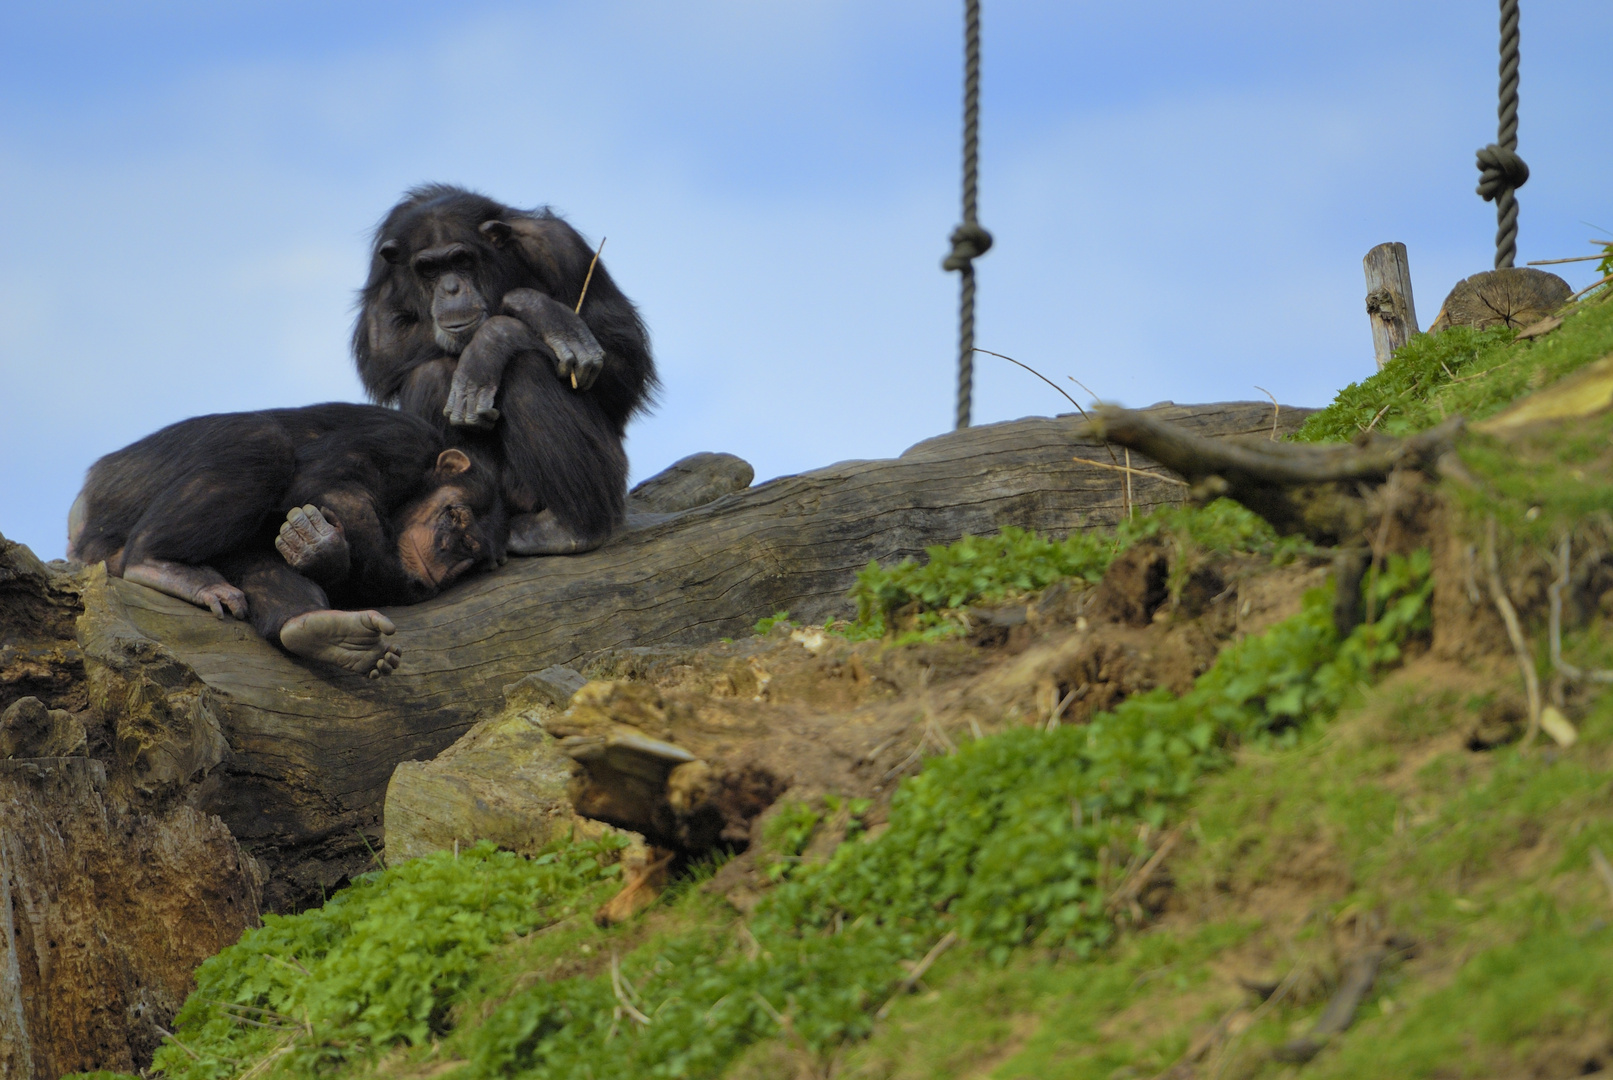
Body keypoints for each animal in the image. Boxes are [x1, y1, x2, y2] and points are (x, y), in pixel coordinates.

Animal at [67, 404, 503, 677]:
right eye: (455, 514)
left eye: (470, 550)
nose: (446, 550)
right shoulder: (398, 442)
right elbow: (325, 486)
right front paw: (328, 550)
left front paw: (320, 551)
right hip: (126, 492)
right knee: (261, 440)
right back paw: (155, 562)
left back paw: (323, 633)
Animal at [351, 183, 654, 557]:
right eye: (428, 268)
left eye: (461, 260)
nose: (451, 288)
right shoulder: (386, 274)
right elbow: (384, 346)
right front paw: (520, 318)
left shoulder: (562, 247)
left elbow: (623, 358)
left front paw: (500, 333)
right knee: (430, 373)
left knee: (526, 368)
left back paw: (570, 528)